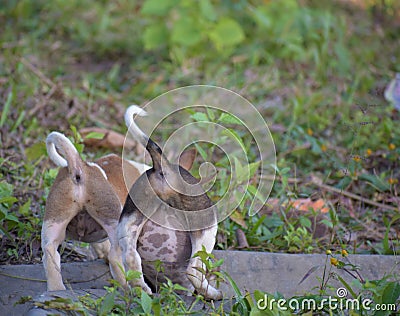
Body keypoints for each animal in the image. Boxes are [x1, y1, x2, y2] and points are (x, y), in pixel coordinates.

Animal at [41, 131, 148, 292]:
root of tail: (79, 167)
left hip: (54, 221)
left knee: (50, 253)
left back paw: (56, 289)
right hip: (114, 222)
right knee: (117, 257)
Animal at [117, 105, 223, 300]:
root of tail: (163, 168)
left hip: (129, 221)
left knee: (130, 256)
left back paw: (141, 289)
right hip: (207, 226)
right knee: (193, 270)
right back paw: (214, 294)